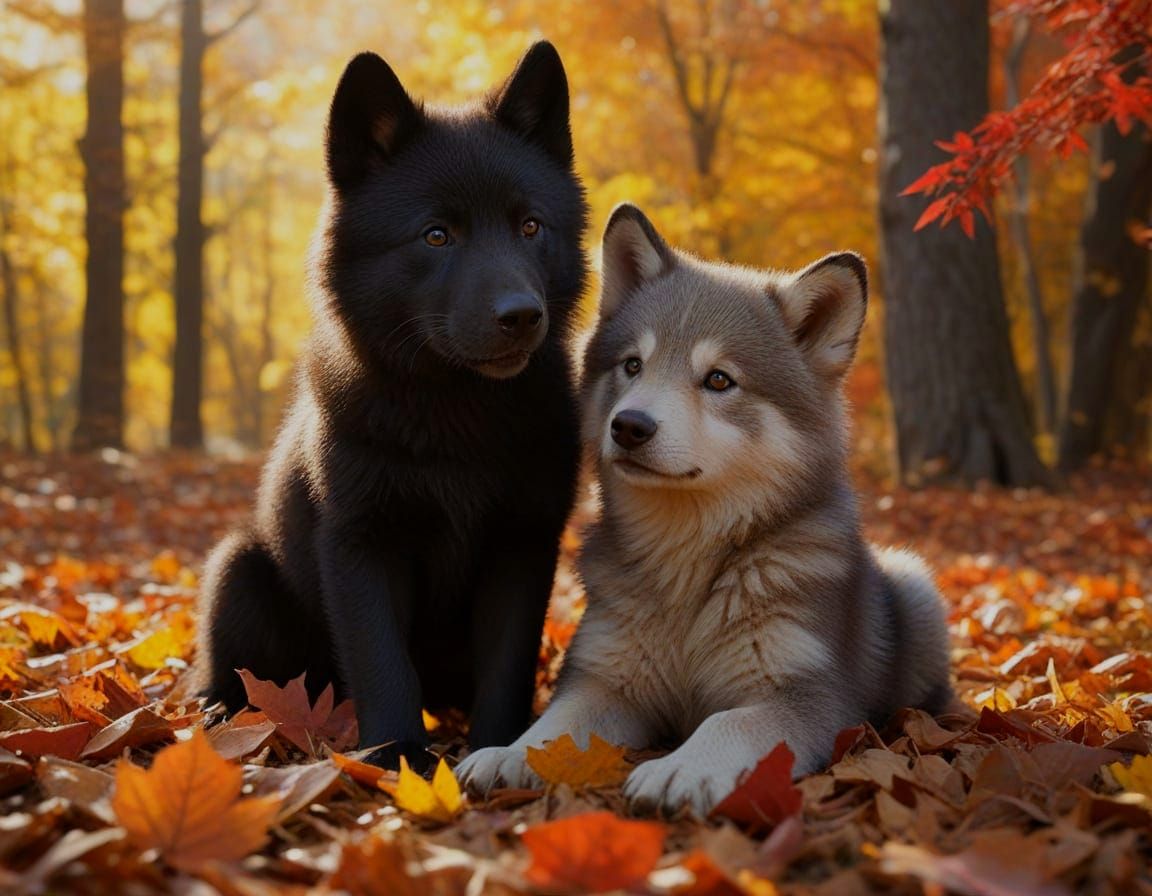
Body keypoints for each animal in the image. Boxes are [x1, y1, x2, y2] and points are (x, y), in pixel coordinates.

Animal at [194, 42, 588, 770]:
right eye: (436, 236)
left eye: (529, 227)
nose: (523, 316)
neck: (456, 416)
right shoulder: (362, 545)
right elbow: (382, 661)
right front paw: (396, 756)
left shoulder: (522, 545)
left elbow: (508, 664)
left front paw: (496, 751)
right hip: (238, 567)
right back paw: (218, 713)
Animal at [457, 203, 951, 813]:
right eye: (632, 365)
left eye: (719, 380)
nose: (629, 426)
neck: (687, 565)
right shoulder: (605, 678)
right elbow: (555, 727)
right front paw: (506, 754)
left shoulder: (807, 696)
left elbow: (728, 722)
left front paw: (683, 767)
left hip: (914, 582)